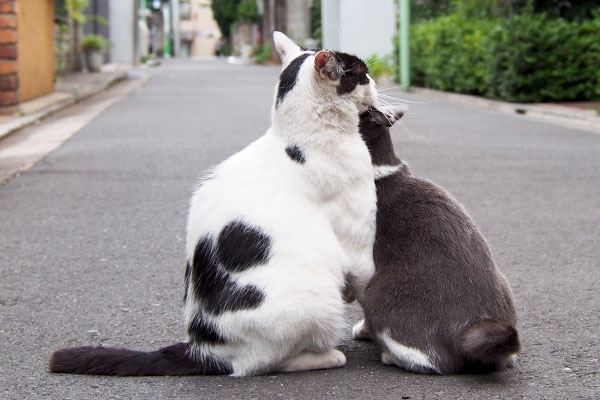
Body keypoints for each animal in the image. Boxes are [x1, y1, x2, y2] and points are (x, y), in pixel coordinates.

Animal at [49, 32, 378, 376]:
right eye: (363, 74)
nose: (376, 82)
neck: (300, 139)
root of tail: (204, 349)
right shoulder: (357, 239)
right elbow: (363, 278)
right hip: (314, 303)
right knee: (265, 361)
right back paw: (324, 356)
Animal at [352, 106, 520, 376]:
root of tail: (467, 329)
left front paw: (362, 331)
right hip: (503, 283)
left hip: (382, 293)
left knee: (438, 361)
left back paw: (390, 356)